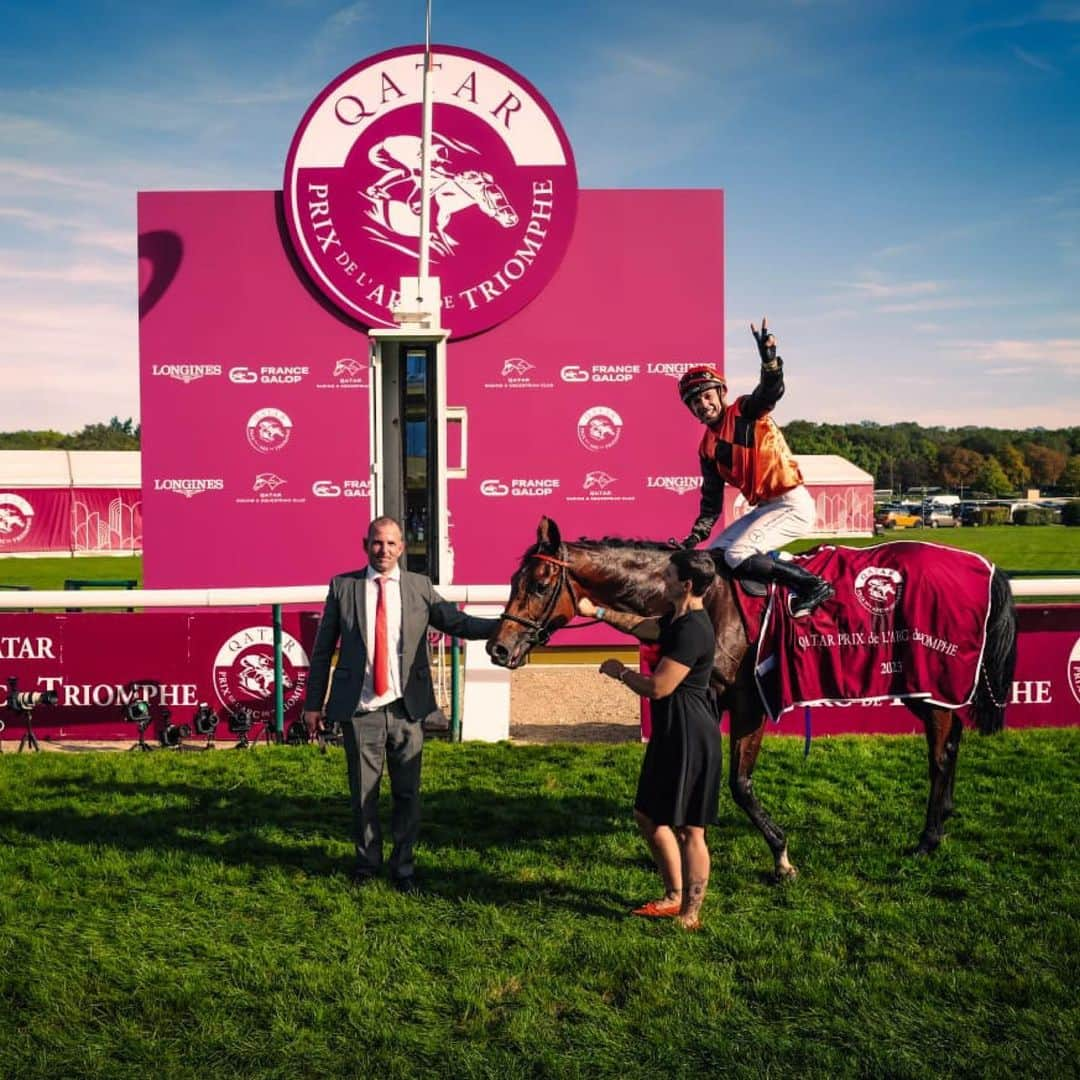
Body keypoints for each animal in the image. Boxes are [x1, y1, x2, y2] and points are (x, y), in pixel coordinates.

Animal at [486, 514, 1015, 876]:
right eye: (512, 580)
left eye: (539, 584)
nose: (498, 647)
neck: (703, 595)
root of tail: (986, 565)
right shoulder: (708, 700)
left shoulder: (749, 704)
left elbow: (740, 785)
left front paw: (781, 854)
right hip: (925, 685)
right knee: (950, 745)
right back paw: (941, 823)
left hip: (932, 679)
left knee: (940, 755)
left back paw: (927, 838)